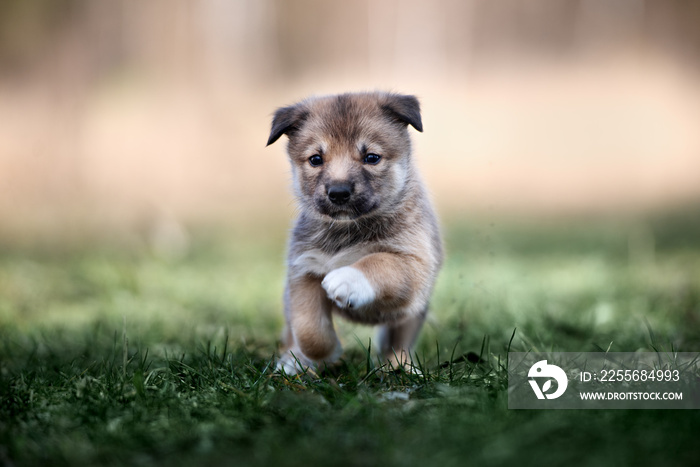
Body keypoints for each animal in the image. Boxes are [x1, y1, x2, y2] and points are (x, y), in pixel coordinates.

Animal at [266, 92, 440, 376]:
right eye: (316, 159)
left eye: (371, 157)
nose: (338, 192)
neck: (348, 231)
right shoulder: (304, 270)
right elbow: (309, 330)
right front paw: (322, 354)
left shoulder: (414, 265)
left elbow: (381, 262)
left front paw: (348, 279)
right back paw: (292, 361)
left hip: (412, 315)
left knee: (398, 343)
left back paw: (401, 368)